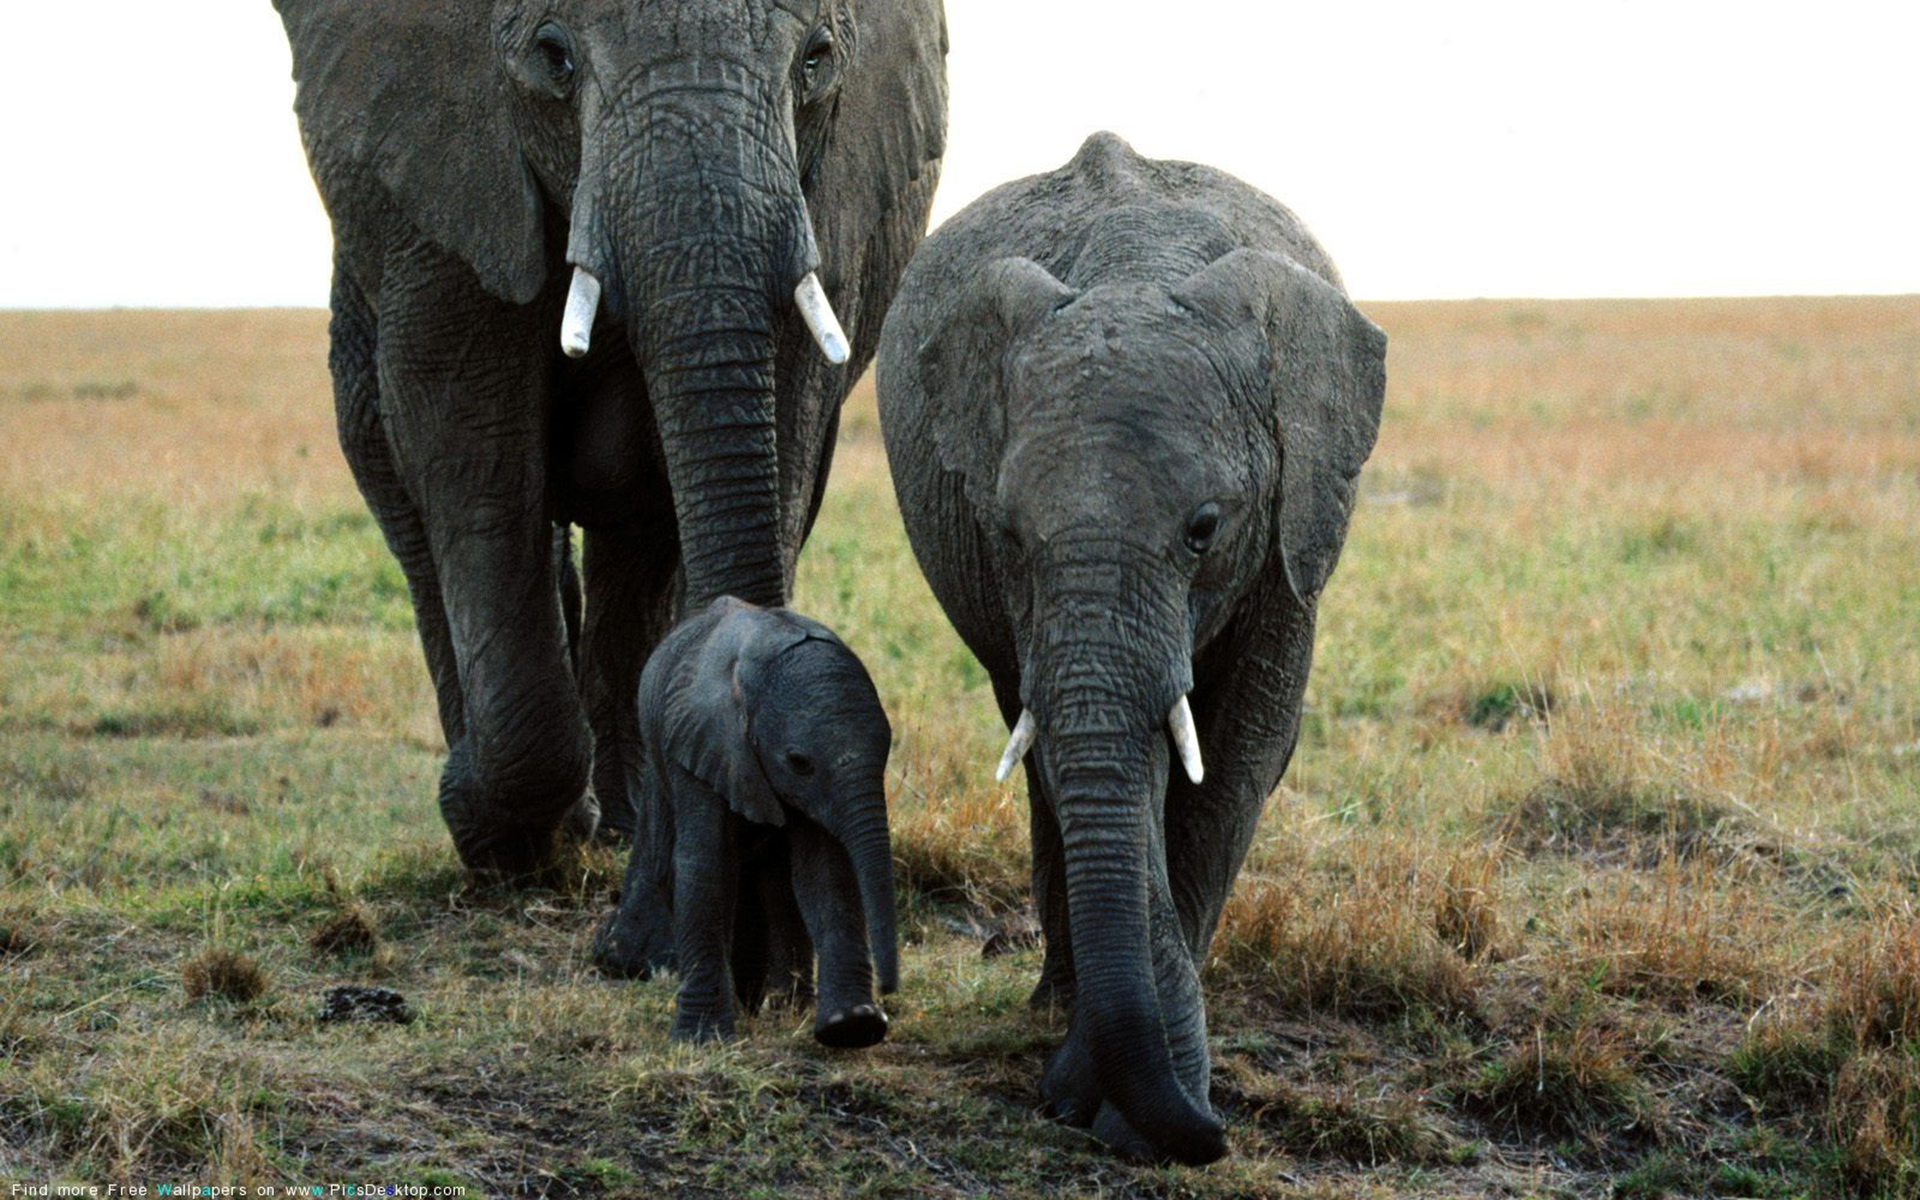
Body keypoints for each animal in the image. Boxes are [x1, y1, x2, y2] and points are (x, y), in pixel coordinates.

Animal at [274, 2, 948, 879]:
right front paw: (498, 836)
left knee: (640, 549)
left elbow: (786, 427)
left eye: (816, 59)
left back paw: (623, 823)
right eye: (553, 58)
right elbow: (470, 447)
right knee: (414, 518)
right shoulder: (445, 202)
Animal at [602, 595, 894, 1044]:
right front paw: (701, 1039)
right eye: (799, 762)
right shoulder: (700, 744)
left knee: (778, 885)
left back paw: (783, 1005)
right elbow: (705, 866)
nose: (888, 991)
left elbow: (822, 871)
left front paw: (852, 1025)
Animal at [879, 133, 1390, 1159]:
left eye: (1204, 528)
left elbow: (1235, 759)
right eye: (1008, 535)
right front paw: (1102, 1095)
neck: (1139, 268)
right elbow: (1105, 757)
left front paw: (1118, 1105)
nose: (1214, 1135)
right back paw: (1055, 1000)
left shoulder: (1290, 527)